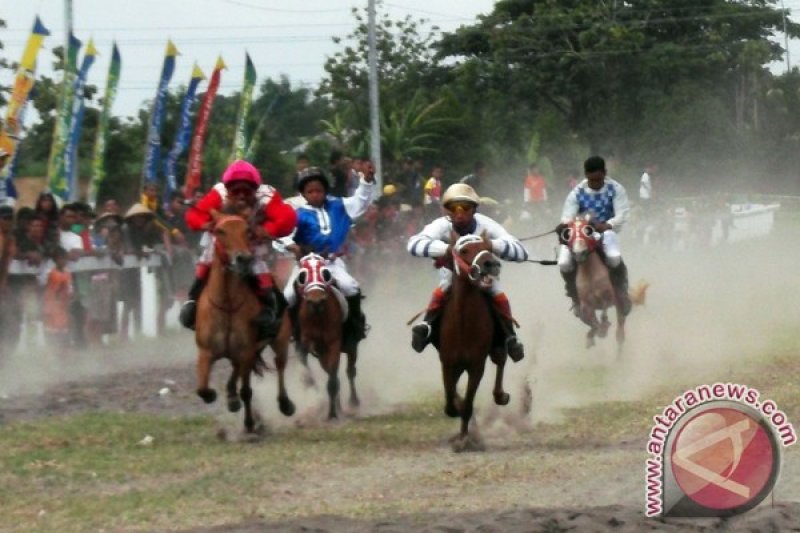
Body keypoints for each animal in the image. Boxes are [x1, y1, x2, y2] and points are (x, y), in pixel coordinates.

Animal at [195, 213, 296, 432]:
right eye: (220, 231)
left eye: (247, 231)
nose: (243, 258)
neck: (227, 304)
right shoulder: (206, 351)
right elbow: (202, 389)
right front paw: (213, 395)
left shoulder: (247, 351)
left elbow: (247, 391)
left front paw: (250, 424)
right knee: (235, 372)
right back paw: (231, 397)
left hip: (280, 341)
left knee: (280, 365)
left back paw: (285, 403)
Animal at [276, 254, 360, 420]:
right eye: (302, 276)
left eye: (325, 273)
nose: (316, 300)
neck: (318, 315)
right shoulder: (305, 342)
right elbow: (307, 369)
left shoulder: (333, 343)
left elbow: (333, 380)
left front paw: (332, 414)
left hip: (350, 346)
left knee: (350, 371)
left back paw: (353, 402)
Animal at [434, 232, 510, 448]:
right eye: (464, 250)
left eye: (488, 248)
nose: (490, 263)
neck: (463, 324)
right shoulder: (448, 363)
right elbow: (451, 399)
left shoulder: (476, 365)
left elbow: (467, 403)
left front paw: (464, 439)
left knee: (501, 359)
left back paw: (500, 395)